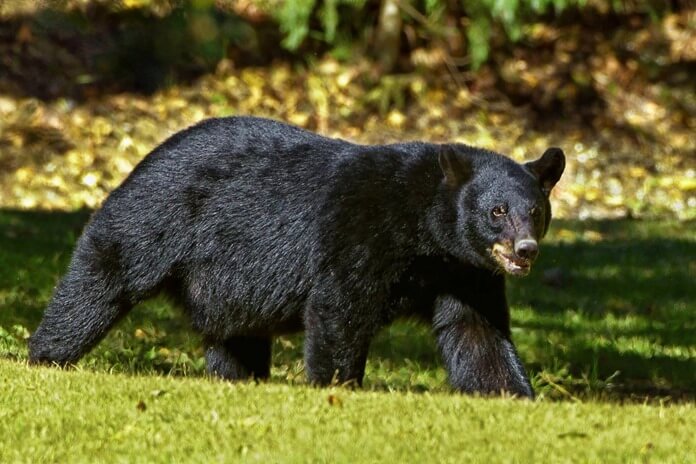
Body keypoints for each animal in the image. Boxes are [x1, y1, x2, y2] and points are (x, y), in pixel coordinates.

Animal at [28, 116, 565, 397]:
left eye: (535, 211)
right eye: (497, 211)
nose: (525, 250)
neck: (424, 231)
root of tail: (146, 155)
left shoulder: (463, 270)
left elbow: (477, 331)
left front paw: (513, 394)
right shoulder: (360, 232)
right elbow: (340, 309)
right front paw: (337, 388)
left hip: (226, 285)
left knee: (235, 337)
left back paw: (239, 379)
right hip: (155, 218)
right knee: (101, 279)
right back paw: (46, 356)